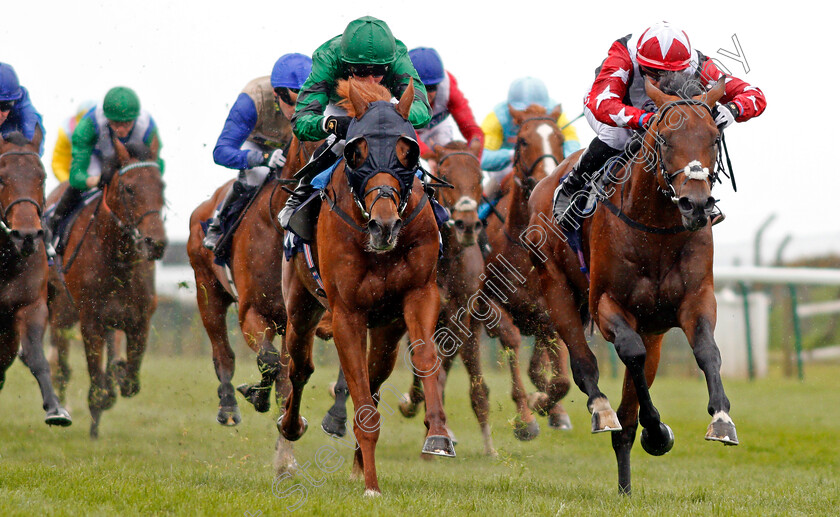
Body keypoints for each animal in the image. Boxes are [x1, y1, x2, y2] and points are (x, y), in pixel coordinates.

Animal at [46, 134, 168, 436]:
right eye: (129, 188)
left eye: (161, 186)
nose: (156, 243)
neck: (117, 261)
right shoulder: (90, 320)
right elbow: (96, 381)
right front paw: (102, 395)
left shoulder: (139, 320)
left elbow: (131, 380)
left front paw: (119, 371)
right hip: (62, 312)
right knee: (60, 366)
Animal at [280, 78, 452, 494]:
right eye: (357, 153)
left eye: (408, 152)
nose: (384, 226)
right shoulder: (347, 314)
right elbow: (358, 395)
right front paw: (371, 484)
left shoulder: (419, 294)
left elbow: (425, 358)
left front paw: (438, 435)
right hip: (301, 308)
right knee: (300, 367)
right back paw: (291, 426)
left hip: (387, 330)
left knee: (375, 378)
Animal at [482, 103, 576, 438]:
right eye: (522, 140)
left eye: (559, 138)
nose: (545, 180)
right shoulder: (488, 303)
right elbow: (511, 341)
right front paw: (525, 417)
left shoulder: (549, 309)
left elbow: (560, 378)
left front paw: (546, 405)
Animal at [528, 76, 740, 492]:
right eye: (665, 139)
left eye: (713, 138)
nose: (695, 204)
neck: (655, 230)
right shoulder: (606, 304)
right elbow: (630, 353)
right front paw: (655, 429)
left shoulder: (696, 300)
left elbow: (707, 351)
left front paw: (721, 419)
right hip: (556, 289)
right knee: (584, 364)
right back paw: (600, 408)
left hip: (653, 328)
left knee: (627, 415)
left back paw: (626, 485)